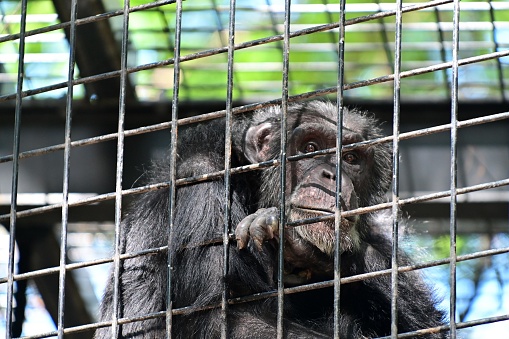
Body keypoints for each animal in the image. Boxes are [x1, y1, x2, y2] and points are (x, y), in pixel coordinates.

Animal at [94, 101, 444, 339]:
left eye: (352, 158)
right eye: (310, 147)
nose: (332, 175)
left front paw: (306, 250)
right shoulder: (197, 186)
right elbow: (224, 321)